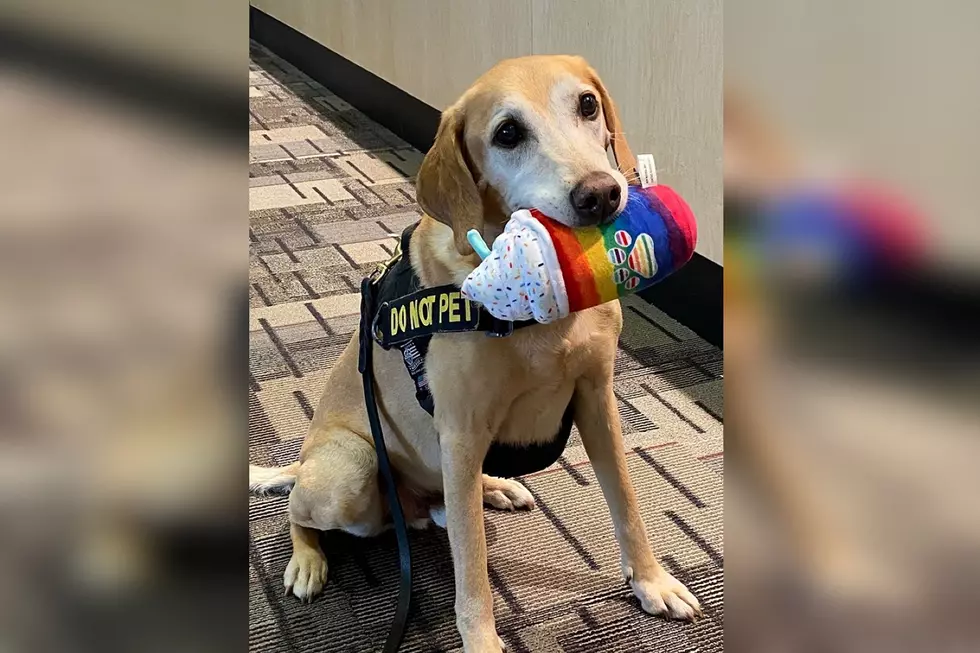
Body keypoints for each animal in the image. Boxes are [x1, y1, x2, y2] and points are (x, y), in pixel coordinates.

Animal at [249, 57, 700, 652]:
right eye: (507, 133)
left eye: (587, 104)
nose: (601, 194)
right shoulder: (460, 431)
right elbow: (472, 568)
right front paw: (482, 640)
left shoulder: (597, 399)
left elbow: (627, 504)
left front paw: (652, 583)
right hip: (349, 471)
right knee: (301, 511)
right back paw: (307, 558)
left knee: (439, 508)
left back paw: (493, 489)